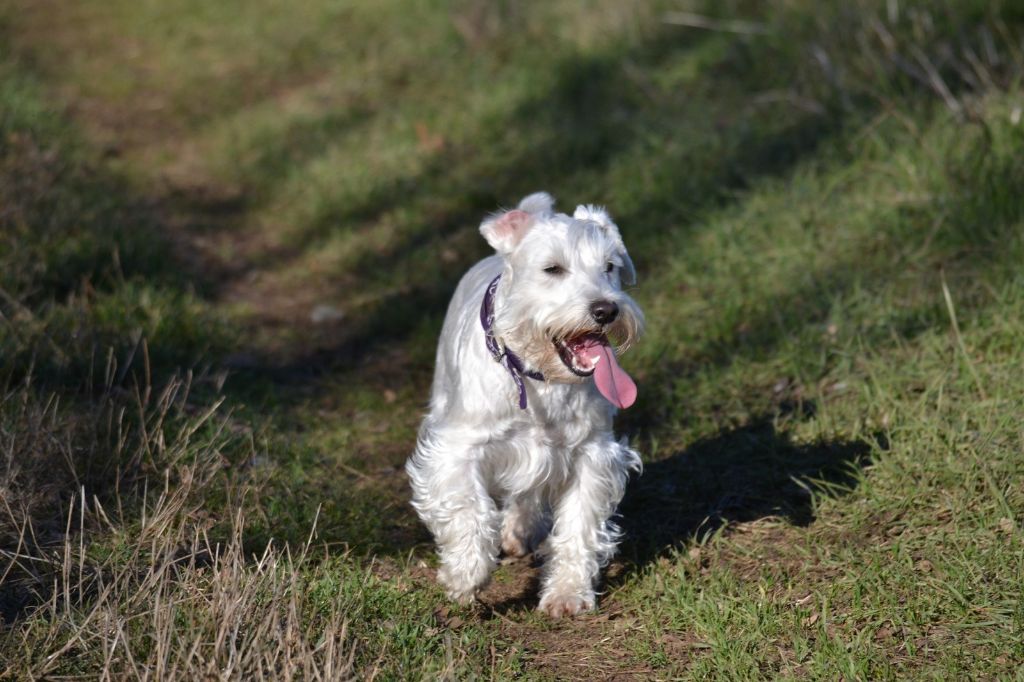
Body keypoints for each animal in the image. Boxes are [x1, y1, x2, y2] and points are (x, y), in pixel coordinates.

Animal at [405, 191, 638, 614]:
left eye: (610, 267)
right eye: (552, 268)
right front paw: (465, 577)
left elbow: (579, 524)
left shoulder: (591, 452)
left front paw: (567, 593)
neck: (538, 376)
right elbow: (469, 509)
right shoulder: (457, 448)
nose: (606, 309)